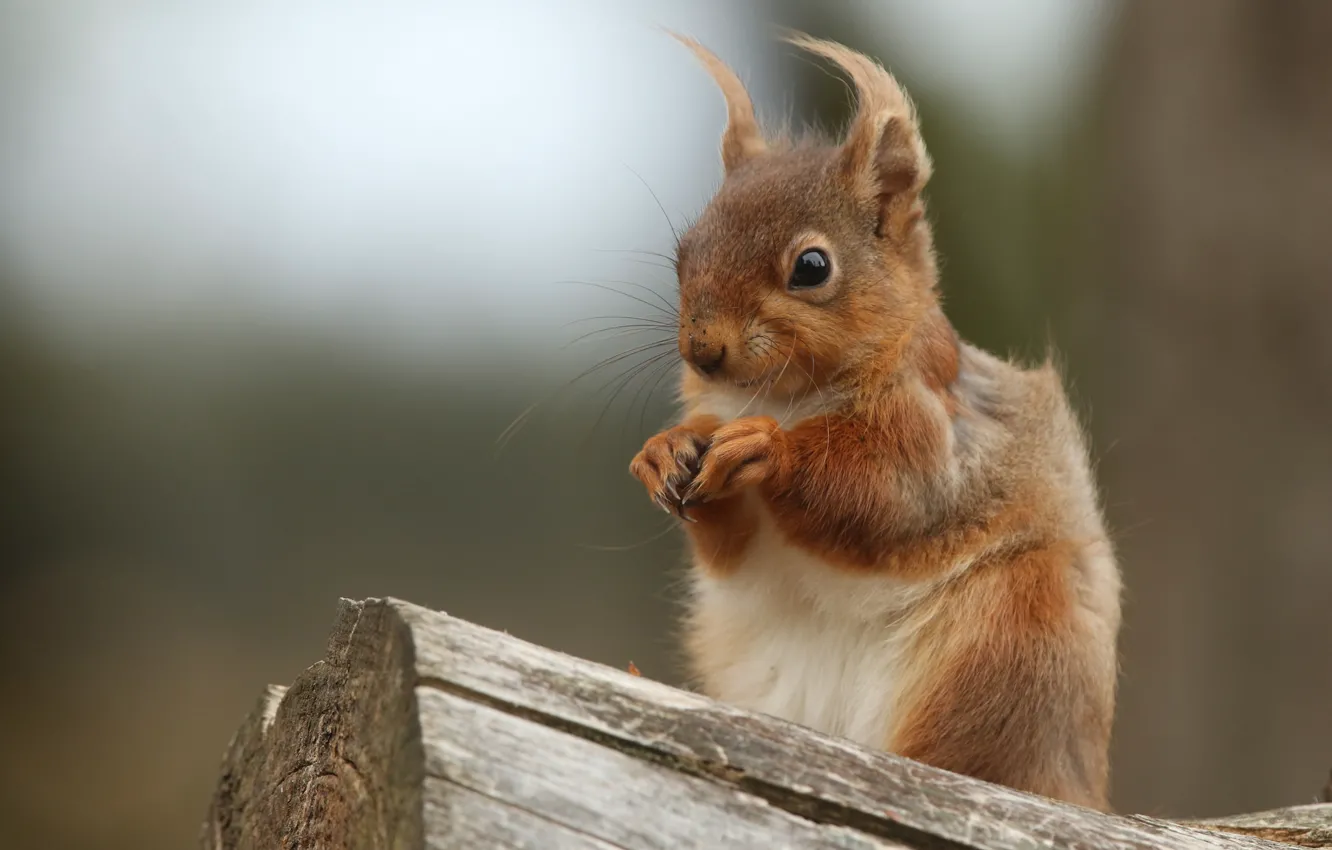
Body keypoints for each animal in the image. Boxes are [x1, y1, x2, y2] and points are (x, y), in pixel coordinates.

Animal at [631, 34, 1124, 810]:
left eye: (811, 266)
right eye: (684, 255)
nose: (702, 351)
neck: (787, 398)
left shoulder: (930, 429)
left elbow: (887, 497)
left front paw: (768, 451)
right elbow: (730, 546)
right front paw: (662, 452)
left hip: (1007, 642)